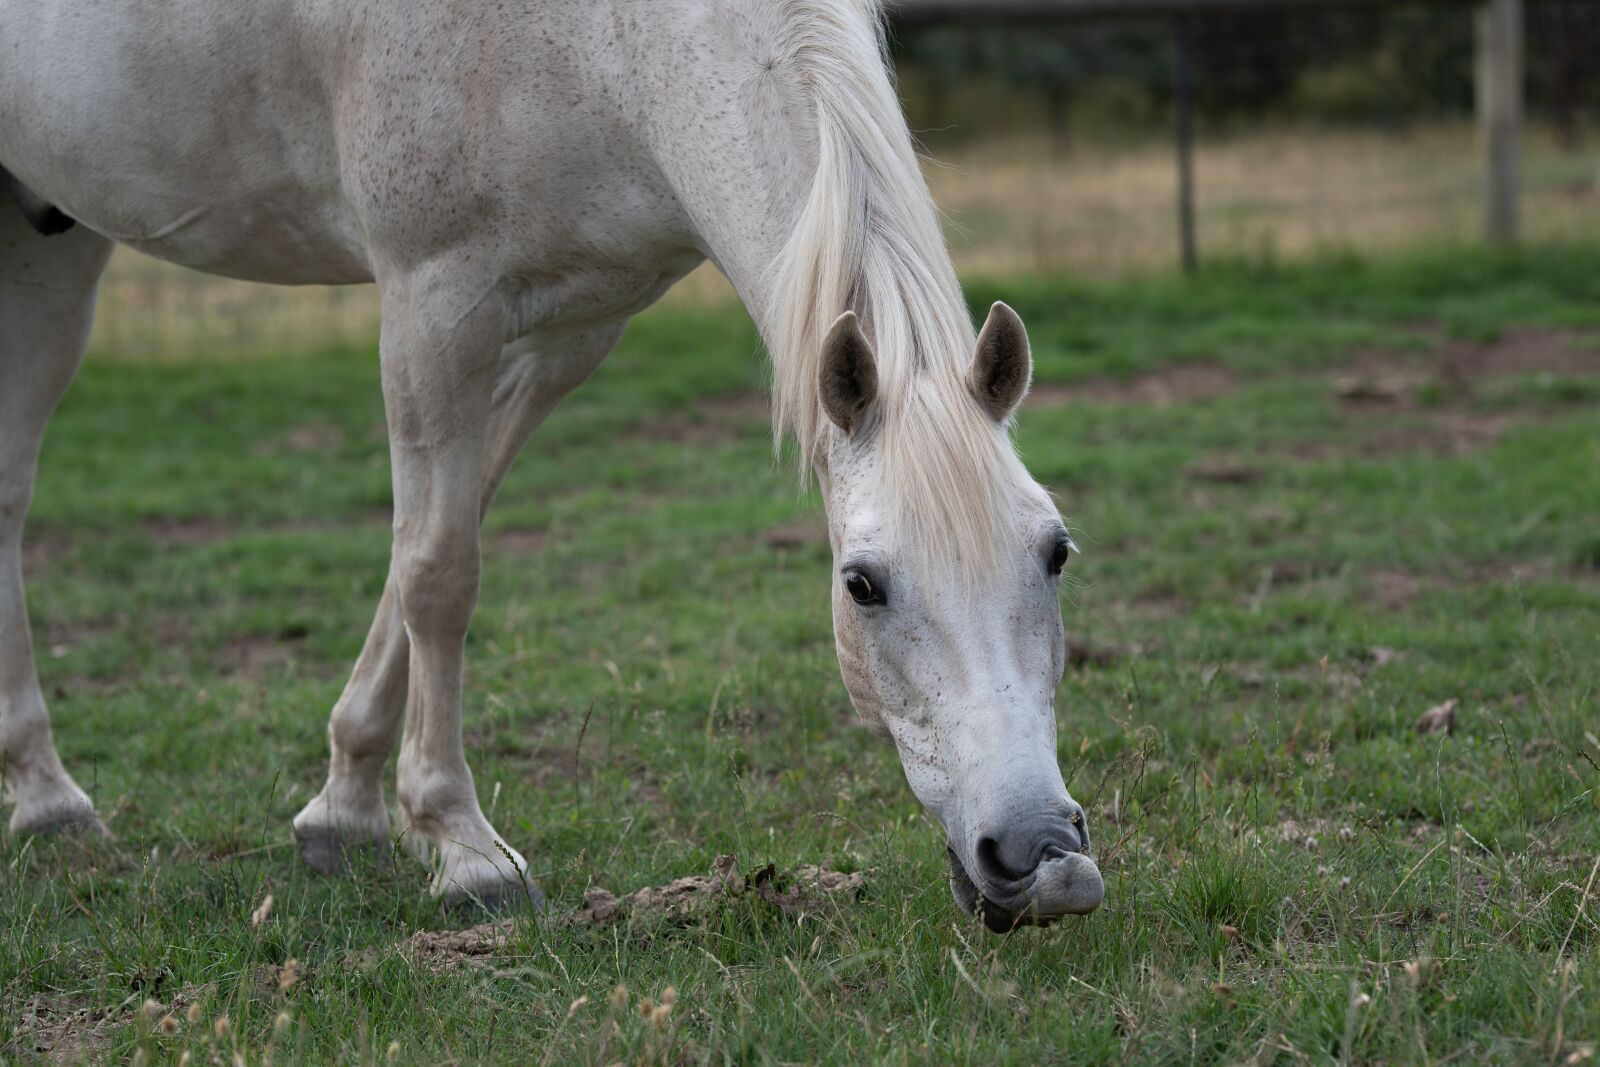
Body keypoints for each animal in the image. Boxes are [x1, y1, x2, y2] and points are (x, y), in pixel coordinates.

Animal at [0, 0, 1103, 931]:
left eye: (1054, 552)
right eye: (862, 584)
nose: (1041, 857)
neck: (608, 39)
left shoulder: (569, 331)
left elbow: (426, 549)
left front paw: (344, 808)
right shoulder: (432, 306)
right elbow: (439, 575)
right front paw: (462, 848)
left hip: (53, 241)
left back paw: (48, 797)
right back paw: (48, 798)